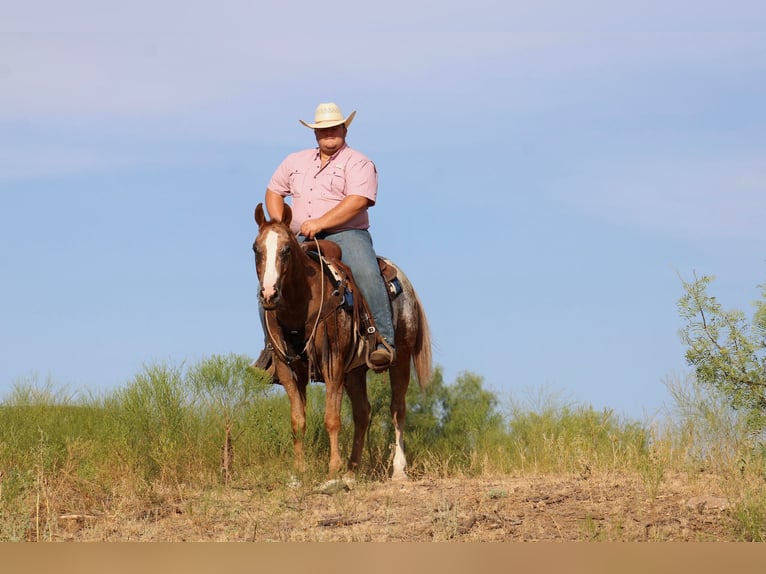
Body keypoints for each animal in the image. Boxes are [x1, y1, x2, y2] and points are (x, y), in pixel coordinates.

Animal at [252, 202, 432, 482]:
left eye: (286, 249)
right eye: (256, 249)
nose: (269, 294)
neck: (300, 306)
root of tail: (406, 284)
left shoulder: (333, 363)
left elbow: (332, 418)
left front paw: (333, 468)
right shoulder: (288, 369)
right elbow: (298, 420)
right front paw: (299, 471)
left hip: (400, 359)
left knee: (397, 408)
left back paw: (398, 469)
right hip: (355, 371)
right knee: (362, 413)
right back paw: (352, 469)